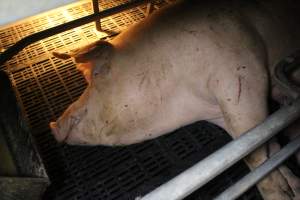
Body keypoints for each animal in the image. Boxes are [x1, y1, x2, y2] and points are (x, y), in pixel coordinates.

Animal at [50, 0, 300, 199]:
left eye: (96, 74)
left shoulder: (242, 79)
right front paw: (292, 189)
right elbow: (265, 148)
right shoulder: (220, 113)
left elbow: (256, 152)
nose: (53, 125)